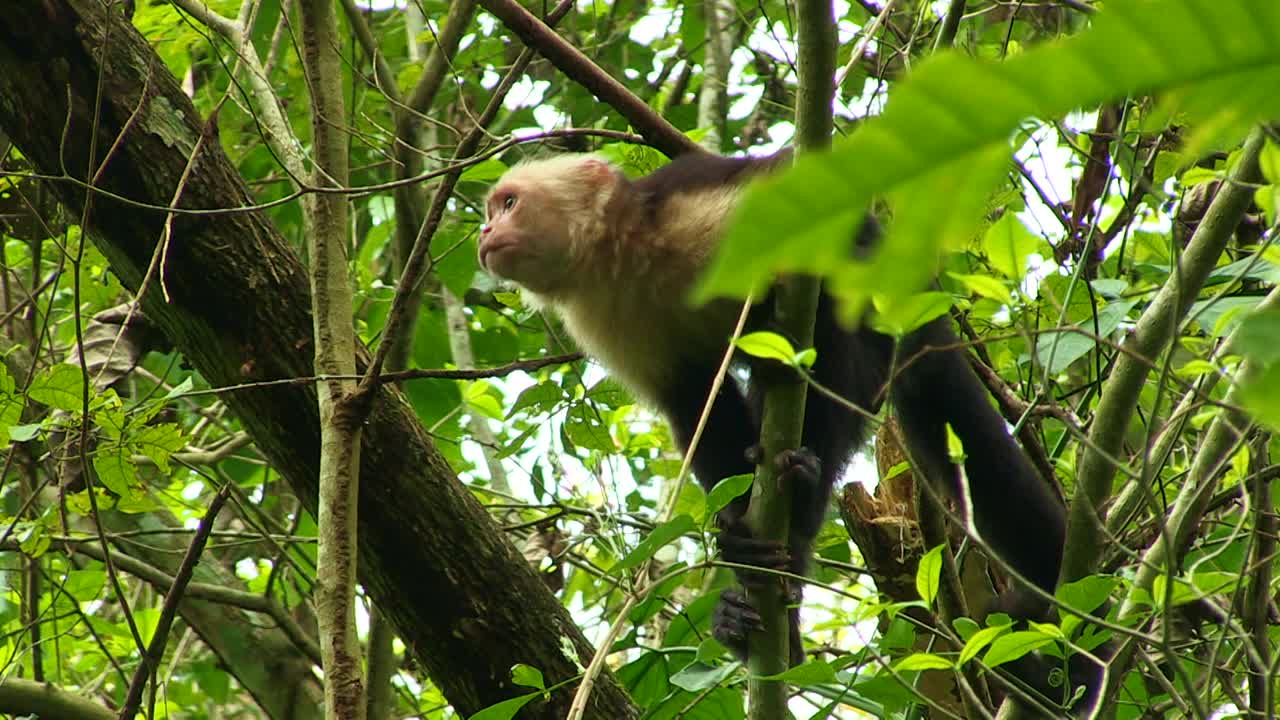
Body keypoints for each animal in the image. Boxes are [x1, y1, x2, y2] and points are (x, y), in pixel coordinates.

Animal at [481, 154, 1090, 707]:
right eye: (491, 209)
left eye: (508, 203)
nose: (485, 231)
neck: (621, 256)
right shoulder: (605, 318)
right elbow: (696, 405)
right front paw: (739, 538)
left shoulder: (698, 213)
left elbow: (816, 249)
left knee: (843, 337)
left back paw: (800, 497)